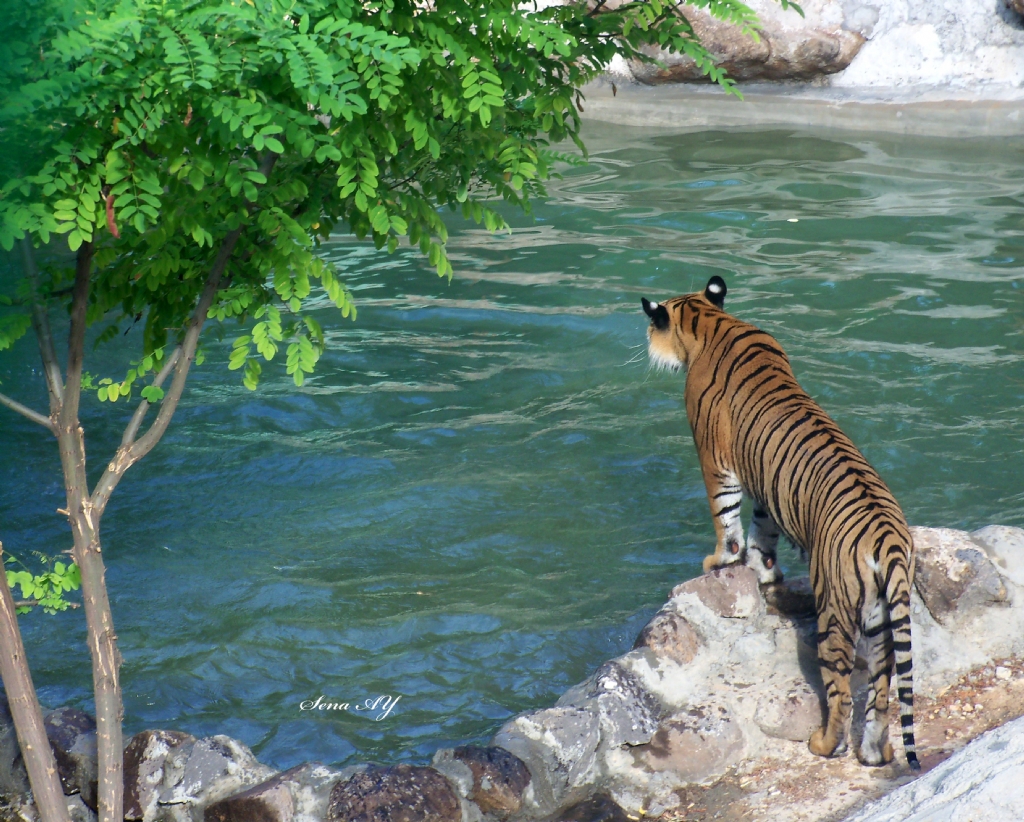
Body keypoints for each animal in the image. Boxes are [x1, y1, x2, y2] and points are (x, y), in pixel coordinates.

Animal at [638, 276, 921, 769]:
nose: (647, 342)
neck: (709, 321)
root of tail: (885, 536)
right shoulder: (766, 486)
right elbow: (761, 527)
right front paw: (763, 569)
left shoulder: (716, 461)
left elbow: (727, 521)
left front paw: (719, 562)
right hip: (883, 620)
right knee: (881, 690)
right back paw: (874, 754)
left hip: (835, 610)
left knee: (840, 691)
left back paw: (825, 744)